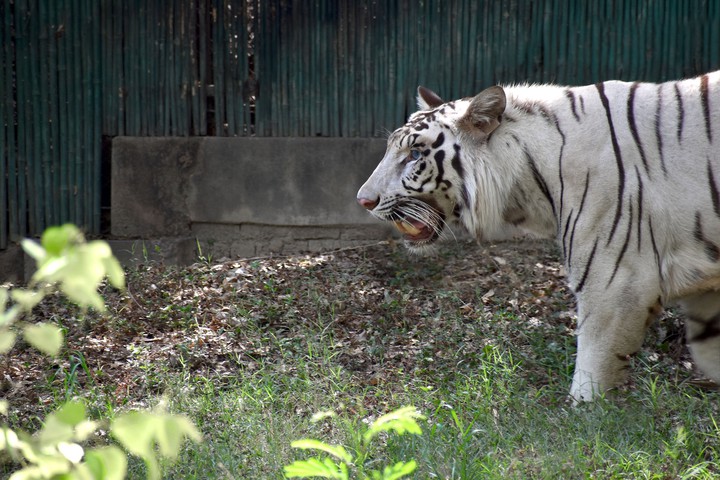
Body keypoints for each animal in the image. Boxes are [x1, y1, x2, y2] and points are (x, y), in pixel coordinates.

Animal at [357, 71, 720, 402]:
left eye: (416, 155)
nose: (363, 200)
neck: (531, 176)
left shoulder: (615, 283)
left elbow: (592, 375)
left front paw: (581, 415)